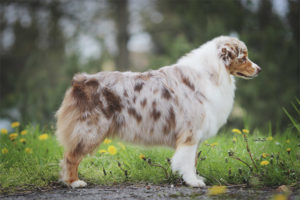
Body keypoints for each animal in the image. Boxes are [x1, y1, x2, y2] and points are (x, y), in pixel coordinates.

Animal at [55, 35, 260, 188]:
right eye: (243, 58)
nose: (259, 69)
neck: (211, 73)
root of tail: (80, 81)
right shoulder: (190, 133)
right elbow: (187, 161)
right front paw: (192, 182)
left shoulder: (194, 134)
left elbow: (193, 160)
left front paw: (195, 178)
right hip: (90, 130)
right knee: (71, 157)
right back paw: (74, 182)